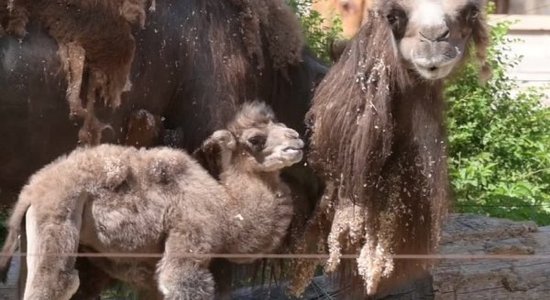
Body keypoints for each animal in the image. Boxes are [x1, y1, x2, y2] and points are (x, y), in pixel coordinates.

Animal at [0, 102, 306, 298]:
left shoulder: (148, 270)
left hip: (33, 229)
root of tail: (31, 190)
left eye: (282, 124)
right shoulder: (191, 236)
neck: (227, 211)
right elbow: (179, 283)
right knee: (57, 283)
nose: (297, 140)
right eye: (255, 139)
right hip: (59, 215)